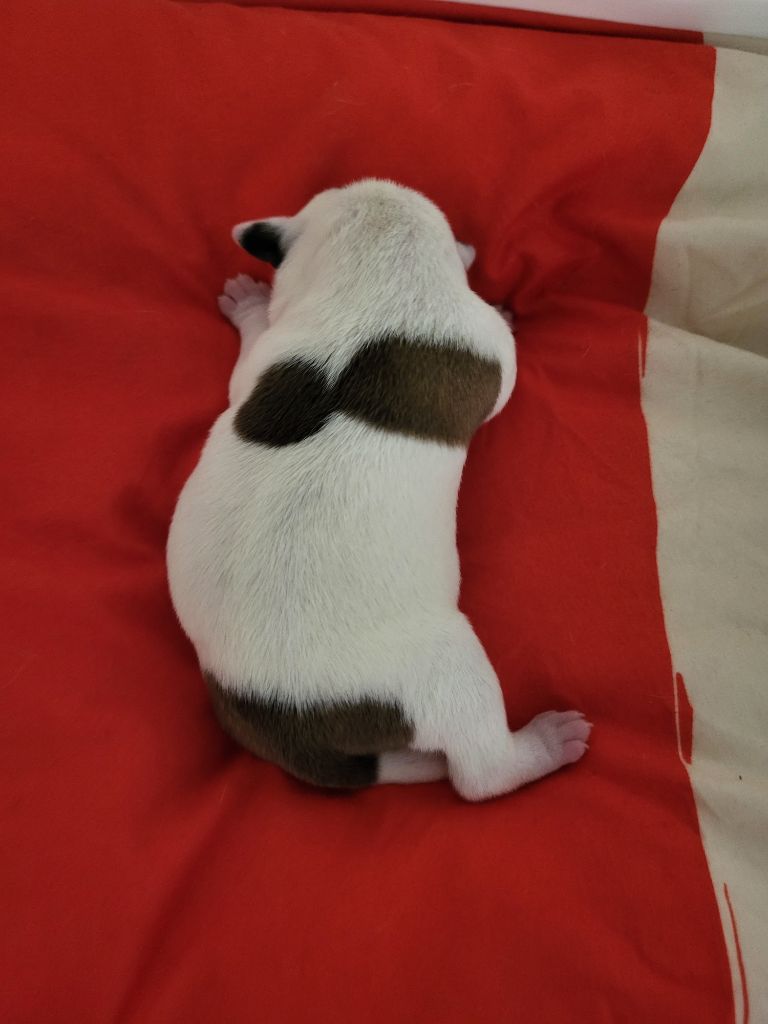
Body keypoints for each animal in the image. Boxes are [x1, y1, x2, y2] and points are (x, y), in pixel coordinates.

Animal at [167, 179, 590, 800]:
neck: (378, 276)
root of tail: (281, 723)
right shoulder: (492, 354)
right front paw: (503, 311)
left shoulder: (267, 355)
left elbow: (246, 362)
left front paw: (248, 307)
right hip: (449, 670)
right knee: (479, 772)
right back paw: (544, 745)